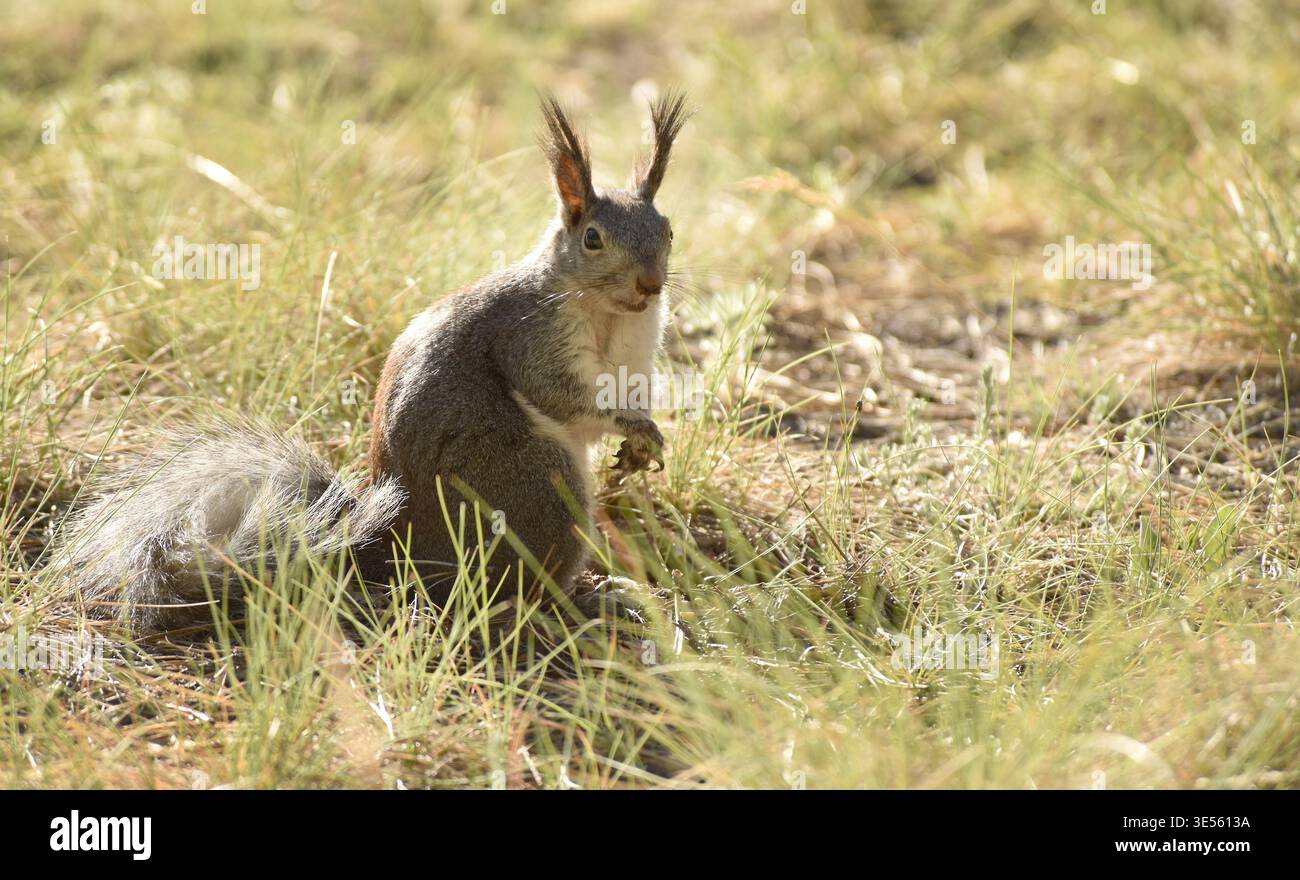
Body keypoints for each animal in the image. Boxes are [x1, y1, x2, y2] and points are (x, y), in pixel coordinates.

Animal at [48, 93, 691, 633]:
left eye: (668, 231)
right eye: (592, 239)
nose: (650, 284)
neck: (610, 315)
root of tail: (396, 551)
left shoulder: (635, 354)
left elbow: (630, 392)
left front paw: (643, 441)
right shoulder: (529, 335)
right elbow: (559, 394)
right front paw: (628, 427)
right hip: (534, 489)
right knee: (518, 589)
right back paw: (586, 603)